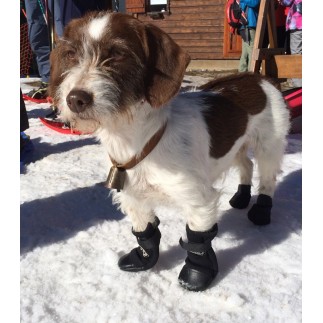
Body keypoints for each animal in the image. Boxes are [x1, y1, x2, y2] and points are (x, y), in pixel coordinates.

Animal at [48, 11, 292, 292]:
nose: (76, 99)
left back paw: (261, 211)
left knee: (267, 178)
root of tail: (259, 78)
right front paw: (144, 258)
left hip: (269, 146)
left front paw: (196, 275)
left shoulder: (198, 200)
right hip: (237, 146)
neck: (134, 140)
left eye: (118, 54)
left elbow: (197, 239)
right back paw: (241, 198)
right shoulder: (132, 196)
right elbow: (145, 229)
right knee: (246, 166)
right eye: (70, 54)